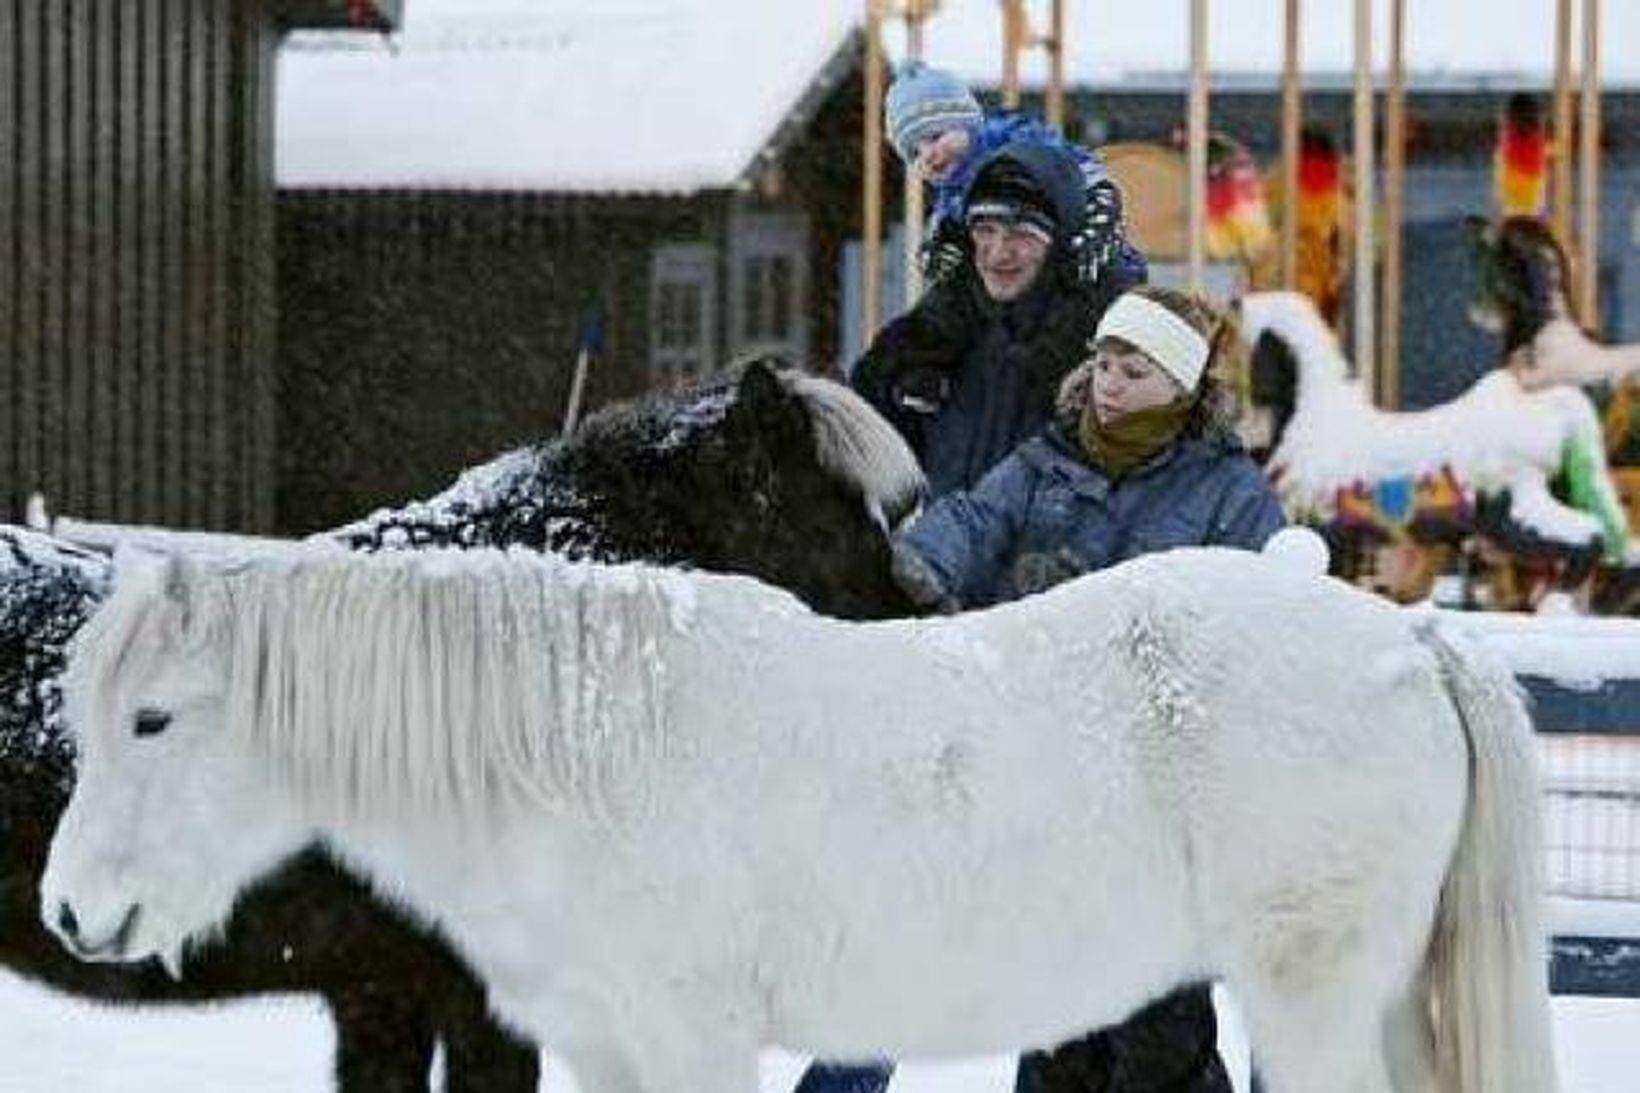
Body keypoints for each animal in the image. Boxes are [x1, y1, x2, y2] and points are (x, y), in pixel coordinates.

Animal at [38, 548, 1548, 1089]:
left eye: (152, 719)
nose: (72, 910)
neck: (582, 750)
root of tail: (1414, 635)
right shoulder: (608, 1053)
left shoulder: (695, 1043)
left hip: (1314, 1000)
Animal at [1239, 287, 1626, 561]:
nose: (1246, 427)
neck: (1314, 415)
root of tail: (1555, 404)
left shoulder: (1322, 524)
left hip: (1515, 503)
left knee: (1582, 538)